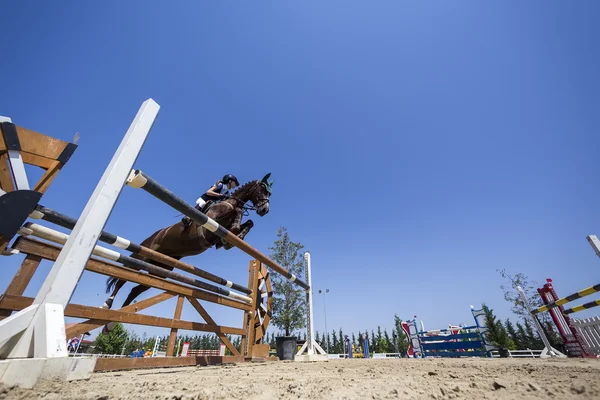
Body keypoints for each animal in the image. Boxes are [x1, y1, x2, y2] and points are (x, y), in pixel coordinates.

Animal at [101, 172, 274, 332]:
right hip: (143, 254)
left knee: (135, 289)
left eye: (269, 194)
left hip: (160, 269)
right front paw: (236, 223)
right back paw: (107, 304)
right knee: (121, 279)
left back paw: (112, 322)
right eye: (262, 190)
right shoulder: (210, 224)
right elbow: (237, 211)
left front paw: (232, 239)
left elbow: (247, 223)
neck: (229, 202)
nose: (265, 210)